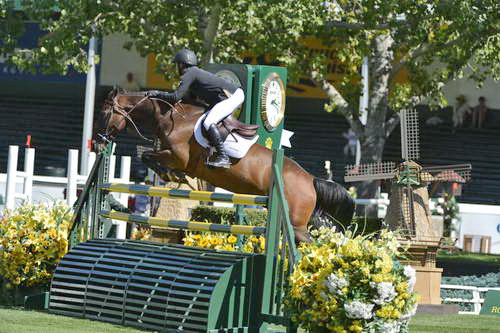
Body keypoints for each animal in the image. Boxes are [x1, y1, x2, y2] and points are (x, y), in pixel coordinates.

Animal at [99, 87, 354, 240]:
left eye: (105, 113)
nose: (101, 141)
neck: (173, 117)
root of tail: (311, 180)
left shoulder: (178, 157)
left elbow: (147, 156)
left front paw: (170, 175)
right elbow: (147, 156)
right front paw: (172, 175)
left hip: (295, 225)